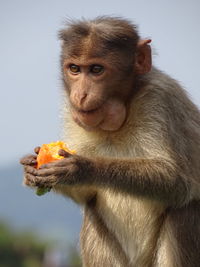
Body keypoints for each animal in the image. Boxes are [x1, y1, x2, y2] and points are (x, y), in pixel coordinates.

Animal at [20, 17, 200, 267]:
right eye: (74, 69)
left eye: (96, 70)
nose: (80, 95)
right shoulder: (72, 114)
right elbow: (87, 195)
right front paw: (31, 169)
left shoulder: (161, 99)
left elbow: (177, 182)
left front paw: (82, 168)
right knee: (92, 211)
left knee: (185, 209)